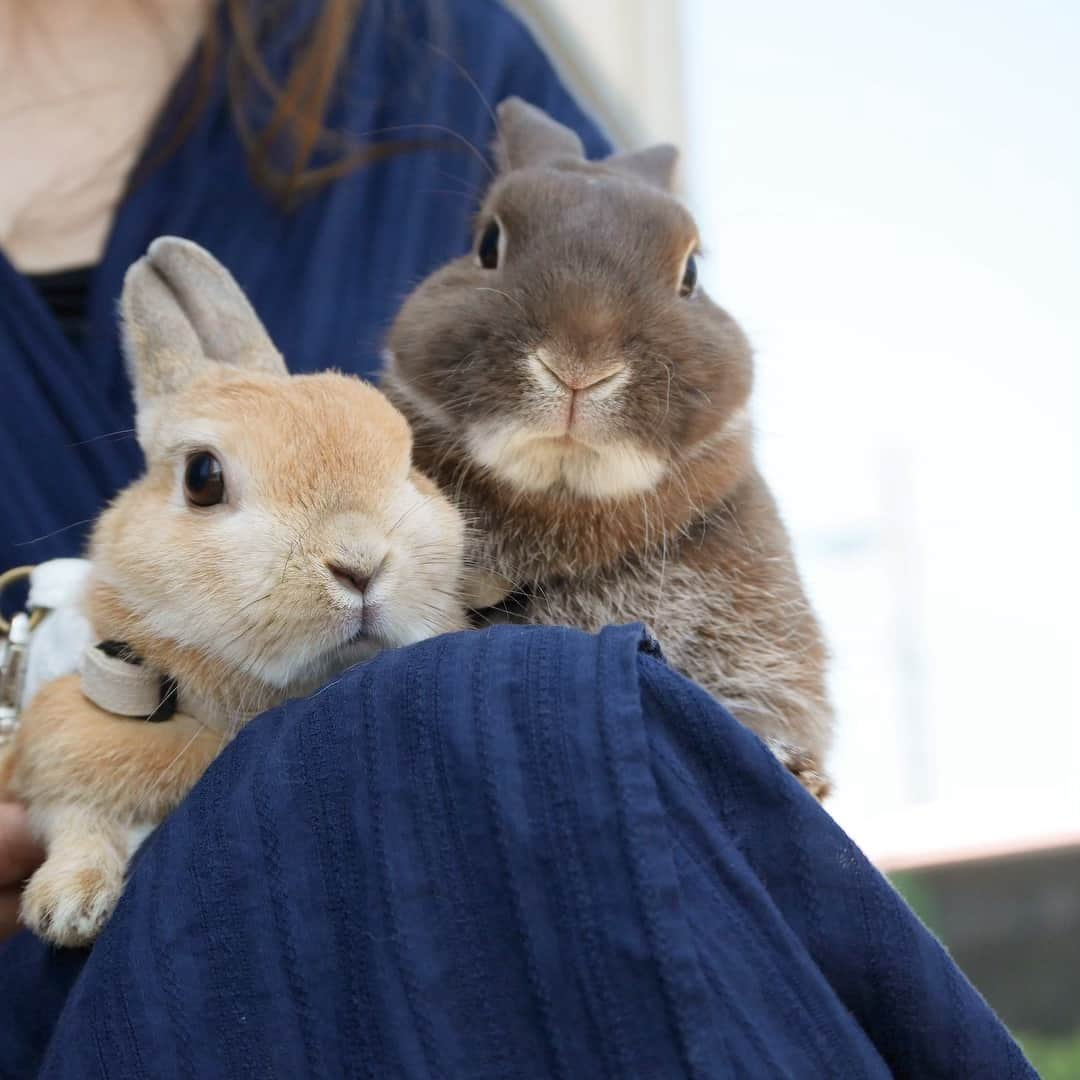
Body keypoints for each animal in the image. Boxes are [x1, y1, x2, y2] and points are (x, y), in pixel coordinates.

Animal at [3, 238, 468, 946]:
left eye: (411, 461)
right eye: (201, 477)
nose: (361, 564)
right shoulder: (62, 735)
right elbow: (77, 822)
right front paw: (68, 907)